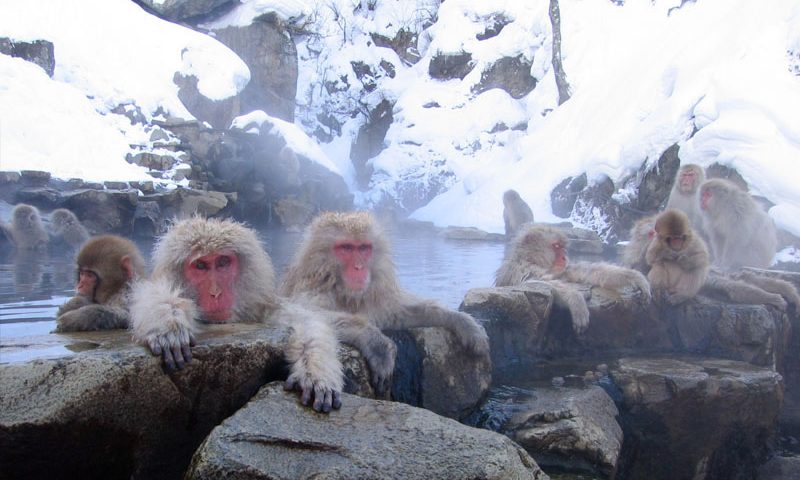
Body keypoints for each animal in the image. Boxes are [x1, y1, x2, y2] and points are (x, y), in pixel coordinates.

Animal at [129, 216, 344, 413]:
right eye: (200, 266)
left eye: (223, 262)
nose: (216, 293)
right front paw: (169, 324)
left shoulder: (264, 310)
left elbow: (307, 323)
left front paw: (316, 374)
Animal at [280, 211, 491, 396]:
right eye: (346, 248)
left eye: (363, 248)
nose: (359, 267)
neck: (344, 292)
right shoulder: (311, 289)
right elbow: (304, 313)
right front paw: (377, 344)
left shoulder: (373, 297)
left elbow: (398, 314)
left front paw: (461, 321)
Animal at [495, 225, 651, 334]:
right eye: (556, 246)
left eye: (562, 247)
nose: (564, 257)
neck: (533, 260)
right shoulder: (522, 269)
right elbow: (535, 281)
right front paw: (575, 299)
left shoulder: (561, 270)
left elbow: (586, 272)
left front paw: (636, 277)